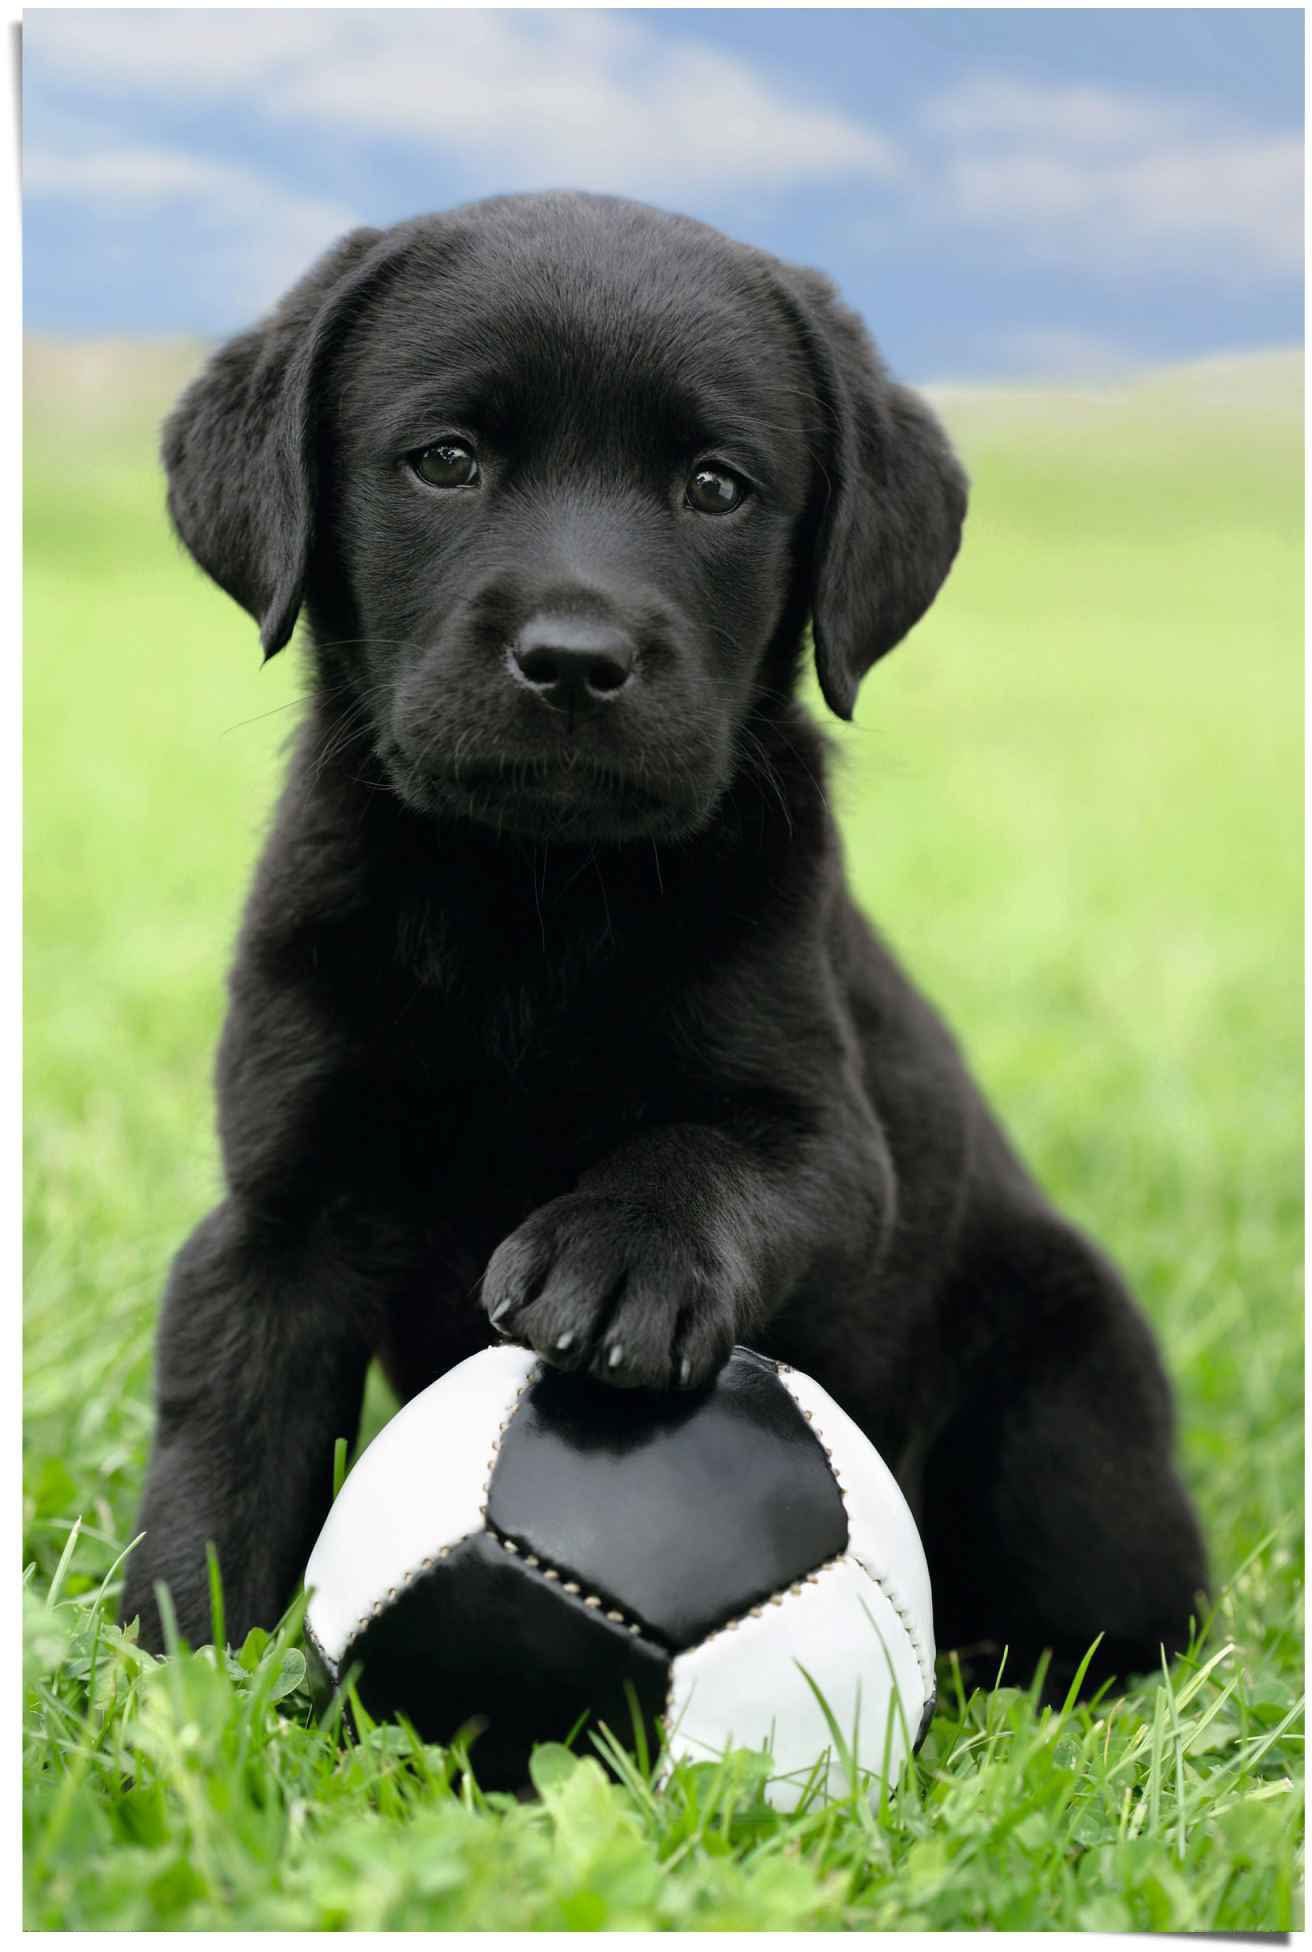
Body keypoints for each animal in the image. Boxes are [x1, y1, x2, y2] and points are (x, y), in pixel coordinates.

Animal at [123, 190, 1210, 1702]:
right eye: (445, 461)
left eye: (715, 487)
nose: (576, 658)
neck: (529, 897)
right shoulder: (283, 1205)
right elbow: (225, 1447)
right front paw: (172, 1679)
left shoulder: (833, 1140)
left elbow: (714, 1150)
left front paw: (622, 1255)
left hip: (1069, 1401)